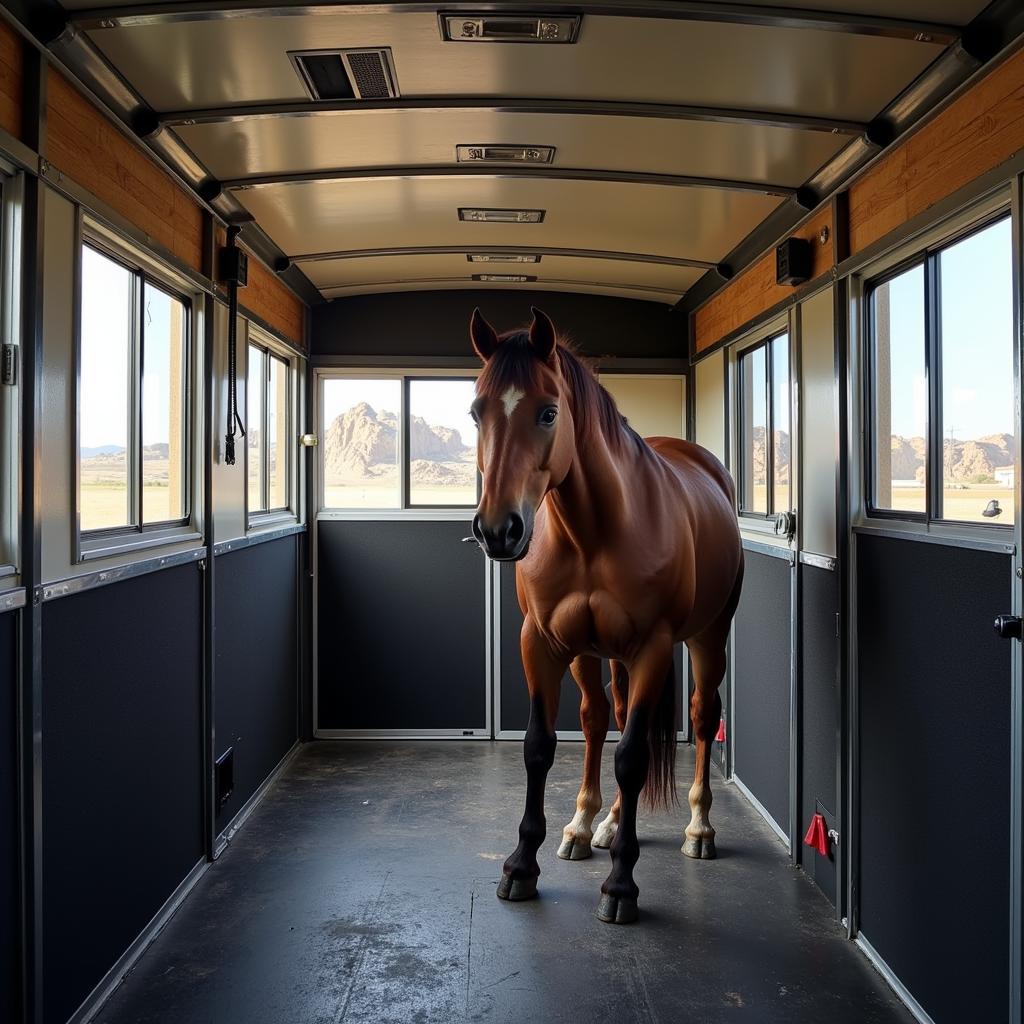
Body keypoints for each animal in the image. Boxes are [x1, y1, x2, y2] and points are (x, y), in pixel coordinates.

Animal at [468, 307, 745, 925]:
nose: (498, 530)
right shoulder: (542, 643)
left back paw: (699, 828)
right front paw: (522, 864)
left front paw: (621, 885)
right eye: (476, 411)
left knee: (700, 717)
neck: (592, 532)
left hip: (706, 639)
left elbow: (634, 756)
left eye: (548, 412)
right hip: (600, 656)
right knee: (603, 718)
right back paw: (593, 824)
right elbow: (543, 744)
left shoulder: (652, 648)